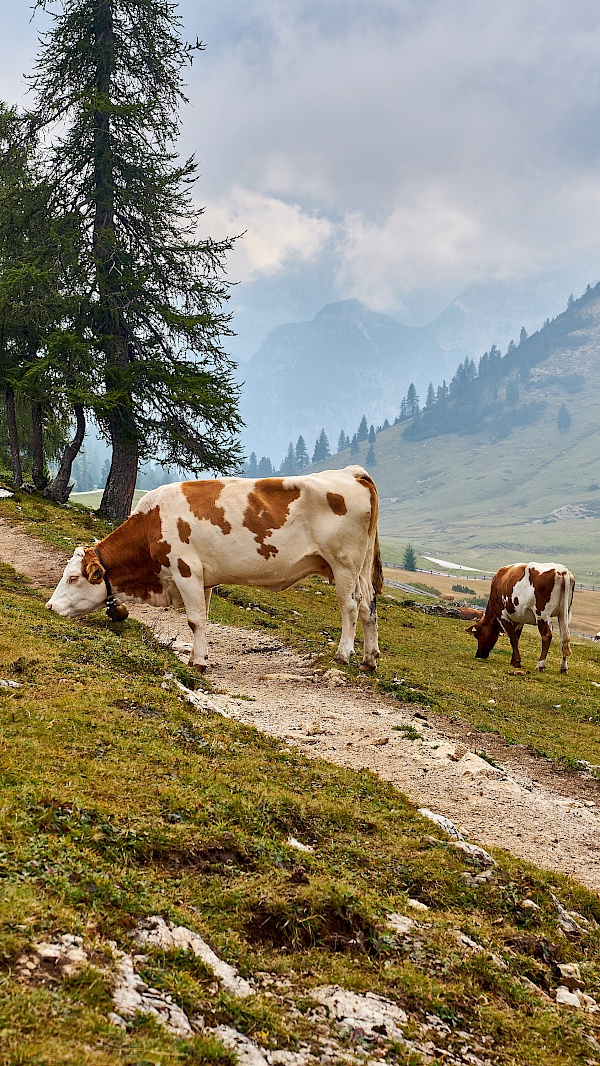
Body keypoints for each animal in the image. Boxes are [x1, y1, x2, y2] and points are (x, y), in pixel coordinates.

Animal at [46, 464, 385, 669]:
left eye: (73, 577)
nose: (49, 606)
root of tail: (352, 472)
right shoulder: (204, 579)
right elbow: (203, 618)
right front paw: (200, 655)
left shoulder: (186, 570)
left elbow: (194, 619)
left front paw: (197, 663)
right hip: (361, 565)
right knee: (368, 605)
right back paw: (369, 659)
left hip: (343, 562)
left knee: (350, 605)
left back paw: (343, 654)